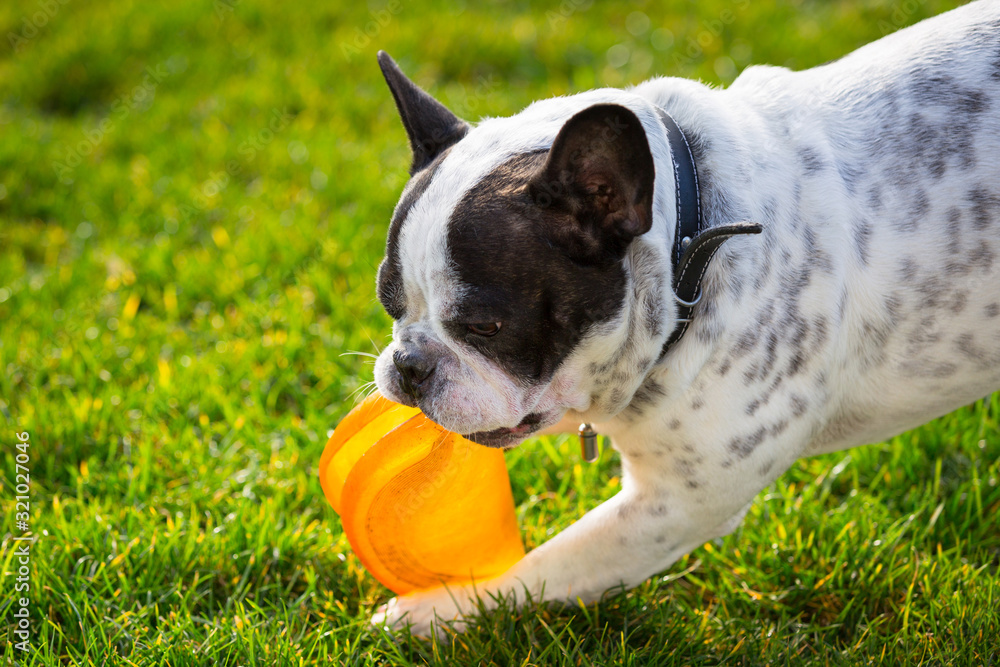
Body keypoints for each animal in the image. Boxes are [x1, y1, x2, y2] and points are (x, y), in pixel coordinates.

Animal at [370, 0, 1000, 636]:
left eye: (484, 327)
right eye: (389, 303)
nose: (409, 364)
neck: (688, 248)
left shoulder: (675, 505)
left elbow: (546, 566)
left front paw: (441, 609)